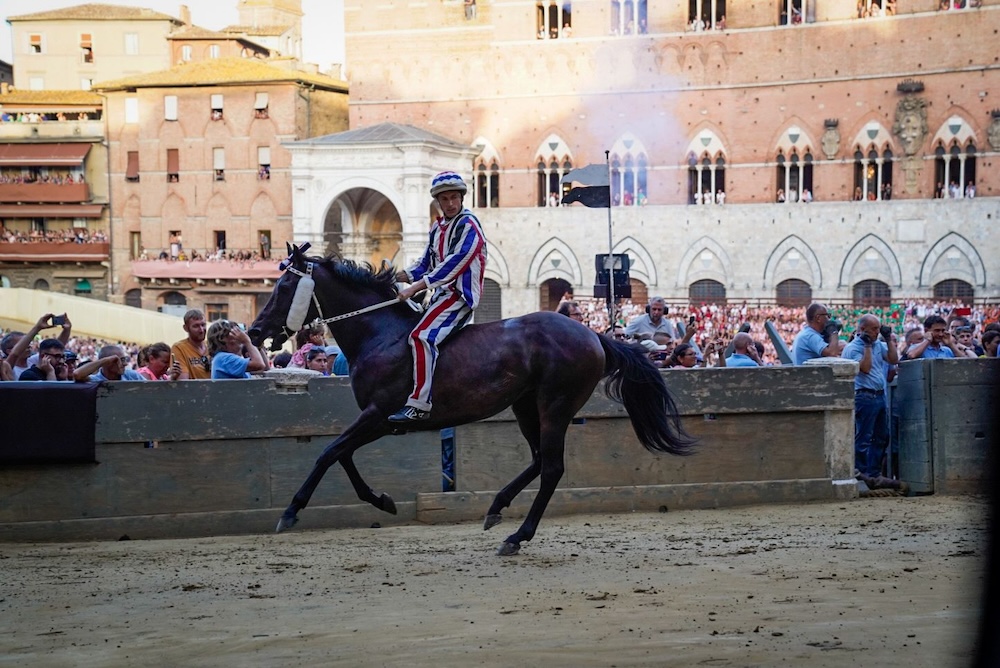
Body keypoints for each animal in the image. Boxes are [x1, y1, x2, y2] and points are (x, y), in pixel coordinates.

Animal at [248, 243, 696, 556]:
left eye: (284, 286)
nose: (254, 331)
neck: (381, 335)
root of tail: (593, 335)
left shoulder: (379, 415)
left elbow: (328, 453)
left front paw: (291, 510)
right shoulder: (379, 421)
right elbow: (342, 456)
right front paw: (383, 501)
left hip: (554, 406)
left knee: (552, 467)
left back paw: (517, 535)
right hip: (525, 406)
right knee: (538, 461)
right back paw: (497, 506)